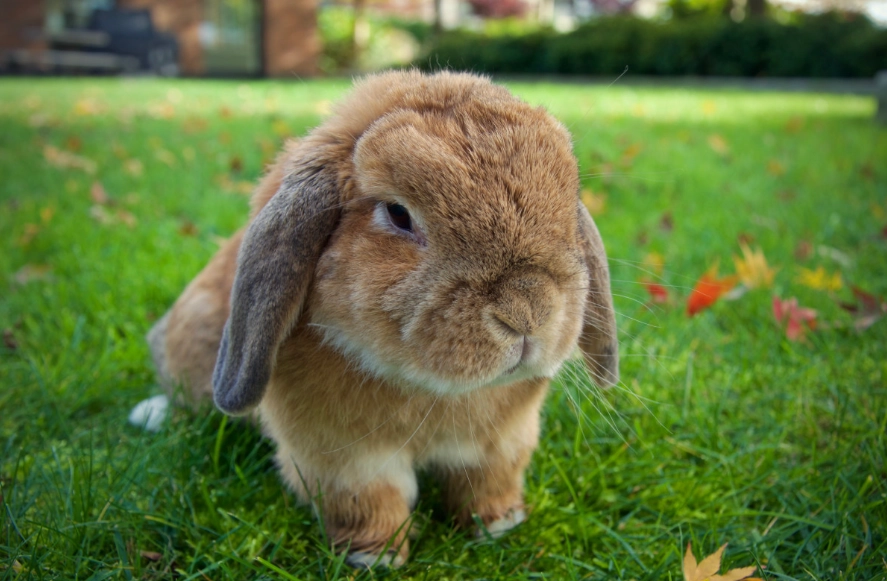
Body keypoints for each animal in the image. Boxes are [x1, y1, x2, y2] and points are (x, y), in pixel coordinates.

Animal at [143, 70, 619, 568]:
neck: (432, 391)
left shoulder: (502, 443)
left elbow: (488, 483)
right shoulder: (343, 459)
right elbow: (372, 501)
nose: (527, 311)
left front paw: (499, 524)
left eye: (569, 202)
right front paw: (376, 556)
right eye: (398, 213)